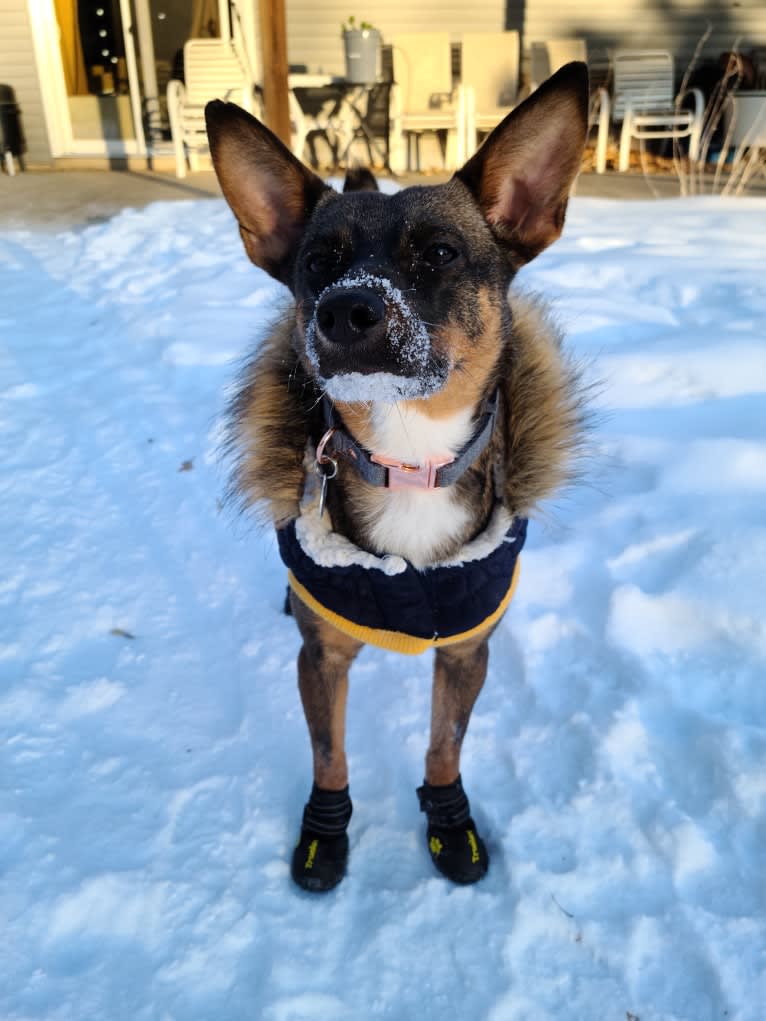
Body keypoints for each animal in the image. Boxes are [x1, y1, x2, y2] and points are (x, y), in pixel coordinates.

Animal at [207, 65, 592, 894]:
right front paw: (326, 834)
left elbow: (444, 742)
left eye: (441, 252)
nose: (345, 309)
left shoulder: (465, 652)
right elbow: (330, 753)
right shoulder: (321, 658)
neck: (409, 461)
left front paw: (449, 820)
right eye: (317, 262)